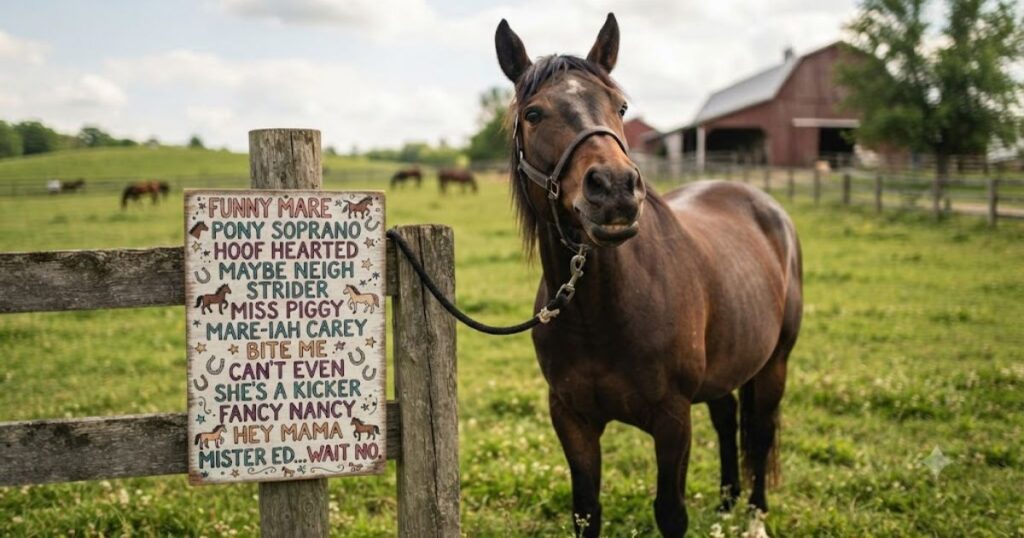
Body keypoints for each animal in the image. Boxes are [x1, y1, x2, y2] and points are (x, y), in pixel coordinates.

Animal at [495, 14, 802, 537]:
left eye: (619, 106)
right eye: (533, 114)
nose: (615, 188)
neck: (602, 313)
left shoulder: (672, 421)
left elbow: (670, 513)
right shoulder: (571, 419)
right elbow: (586, 511)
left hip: (774, 363)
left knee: (759, 434)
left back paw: (754, 514)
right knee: (727, 418)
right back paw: (726, 502)